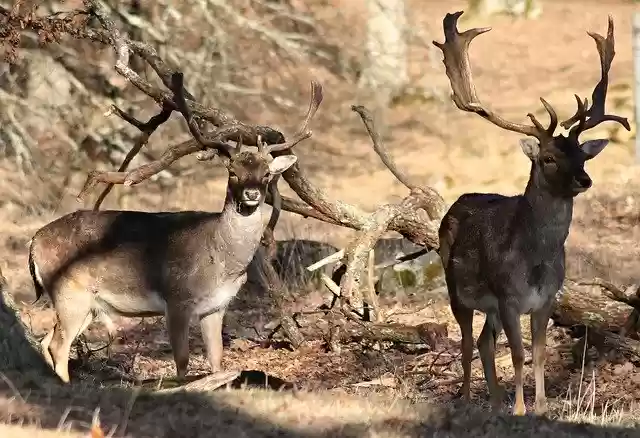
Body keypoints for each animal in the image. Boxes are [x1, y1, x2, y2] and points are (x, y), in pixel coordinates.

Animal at [28, 79, 324, 384]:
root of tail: (34, 242)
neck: (220, 259)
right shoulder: (177, 298)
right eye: (233, 172)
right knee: (58, 345)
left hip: (86, 303)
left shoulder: (217, 306)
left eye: (266, 174)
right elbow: (182, 361)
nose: (251, 194)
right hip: (69, 292)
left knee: (46, 341)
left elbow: (216, 359)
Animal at [433, 12, 630, 415]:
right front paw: (521, 410)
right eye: (549, 158)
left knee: (483, 342)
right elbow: (519, 355)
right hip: (456, 288)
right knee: (466, 342)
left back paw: (493, 402)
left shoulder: (547, 300)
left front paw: (539, 407)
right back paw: (466, 399)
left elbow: (538, 353)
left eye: (583, 155)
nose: (585, 179)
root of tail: (456, 202)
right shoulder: (509, 298)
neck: (534, 261)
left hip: (489, 306)